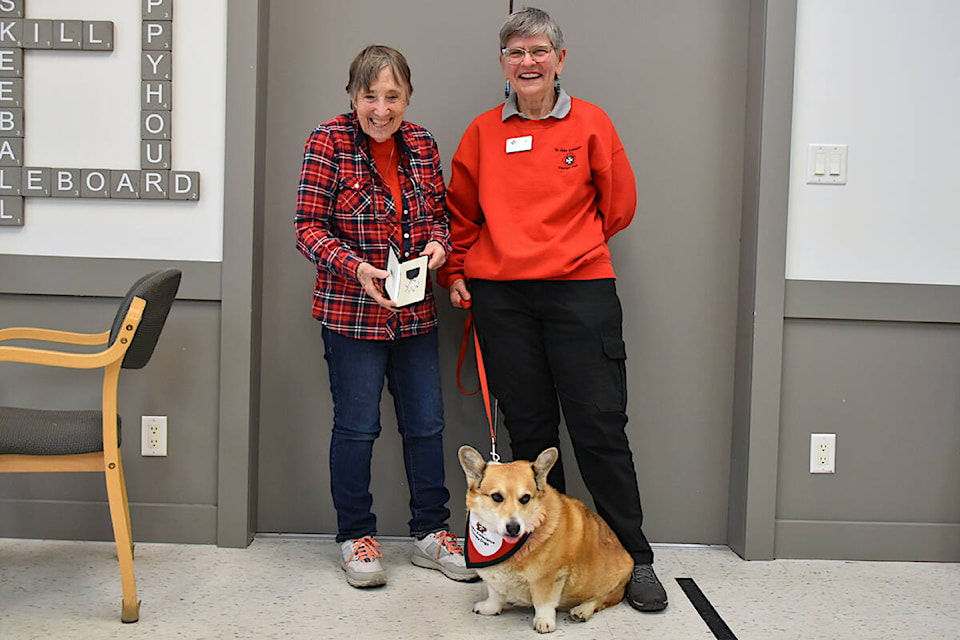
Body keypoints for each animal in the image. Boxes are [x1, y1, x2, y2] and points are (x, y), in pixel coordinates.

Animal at [460, 448, 632, 632]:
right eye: (497, 497)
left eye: (525, 498)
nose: (514, 528)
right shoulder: (494, 580)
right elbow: (495, 594)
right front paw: (490, 608)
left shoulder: (549, 577)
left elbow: (543, 602)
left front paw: (544, 622)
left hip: (613, 584)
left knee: (599, 600)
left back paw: (582, 610)